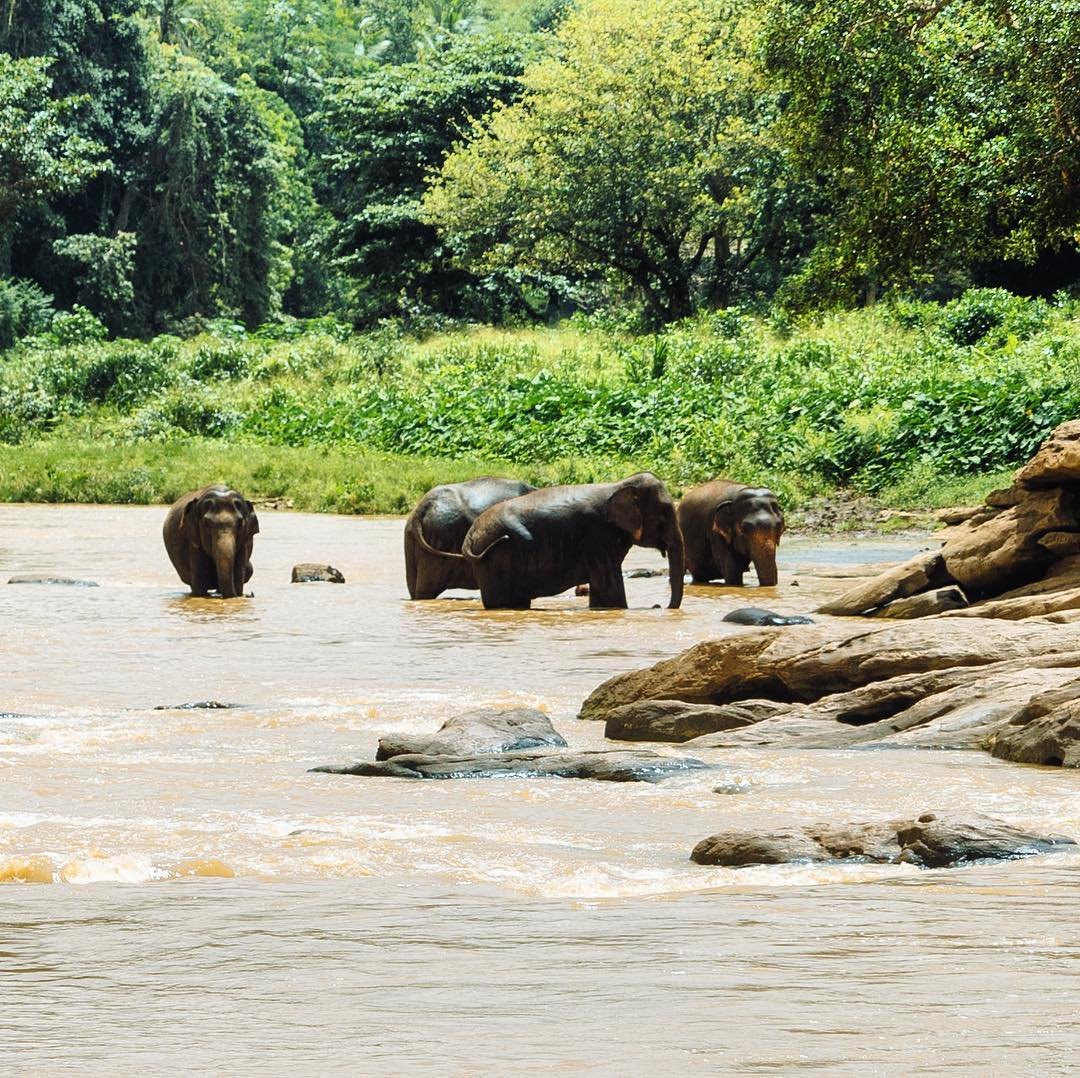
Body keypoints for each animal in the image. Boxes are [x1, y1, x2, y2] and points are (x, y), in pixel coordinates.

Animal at [461, 472, 685, 610]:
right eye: (663, 517)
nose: (658, 606)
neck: (619, 484)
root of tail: (470, 535)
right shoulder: (596, 537)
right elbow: (609, 589)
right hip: (494, 560)